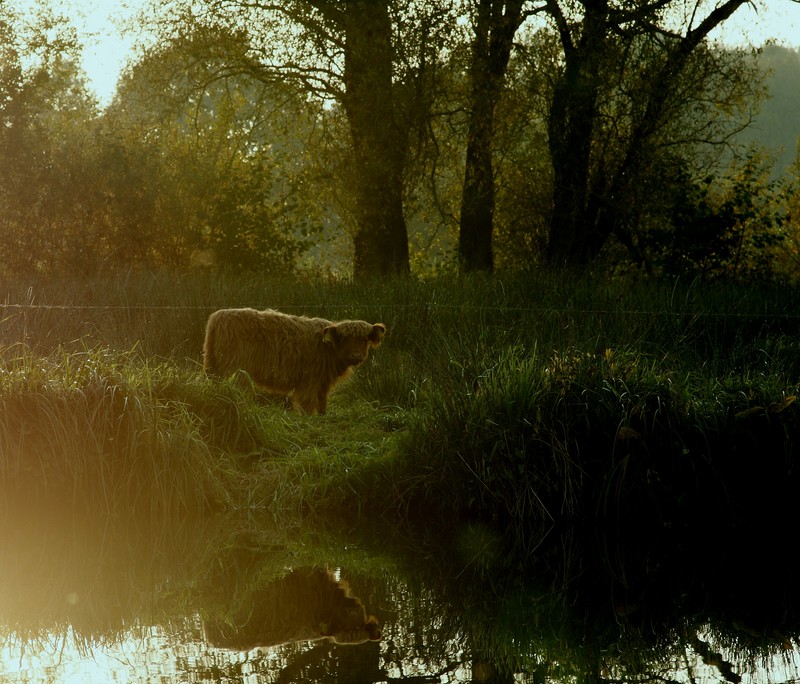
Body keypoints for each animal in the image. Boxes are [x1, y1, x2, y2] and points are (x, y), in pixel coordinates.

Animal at [202, 308, 386, 414]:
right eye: (346, 339)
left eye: (364, 340)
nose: (356, 355)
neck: (328, 348)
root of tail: (218, 315)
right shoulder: (309, 382)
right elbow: (308, 406)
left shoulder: (323, 383)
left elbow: (322, 404)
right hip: (235, 369)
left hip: (214, 367)